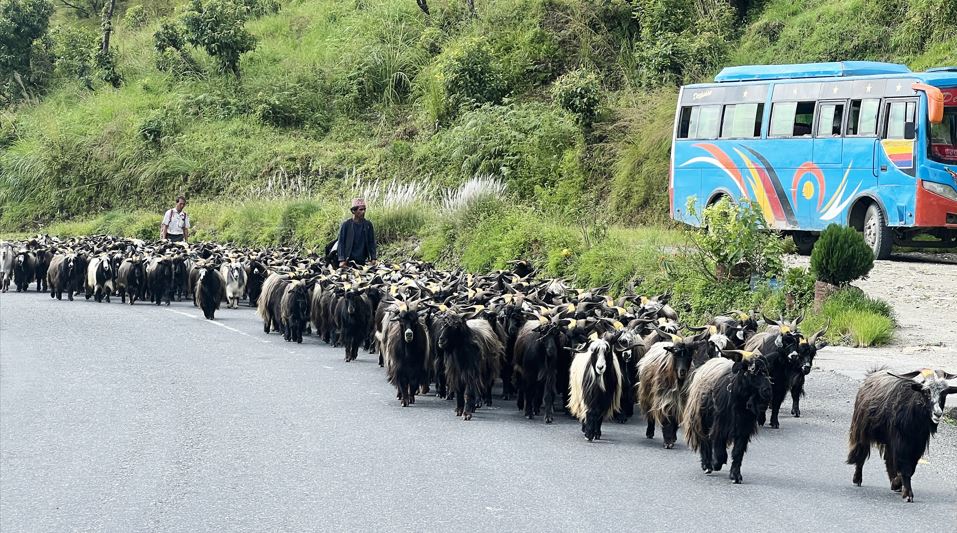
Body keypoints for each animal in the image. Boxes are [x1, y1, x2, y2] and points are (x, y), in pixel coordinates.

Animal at [684, 354, 772, 482]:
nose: (767, 390)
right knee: (705, 442)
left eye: (765, 371)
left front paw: (736, 475)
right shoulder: (720, 425)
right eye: (751, 373)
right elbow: (719, 449)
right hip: (702, 420)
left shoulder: (743, 428)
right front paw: (716, 464)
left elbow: (738, 452)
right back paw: (707, 465)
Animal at [848, 368, 952, 500]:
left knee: (888, 459)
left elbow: (910, 468)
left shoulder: (916, 446)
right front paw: (908, 494)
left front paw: (897, 484)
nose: (937, 413)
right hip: (862, 429)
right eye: (926, 392)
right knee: (861, 452)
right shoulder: (900, 442)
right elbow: (905, 467)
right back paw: (857, 479)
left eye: (944, 393)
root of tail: (872, 374)